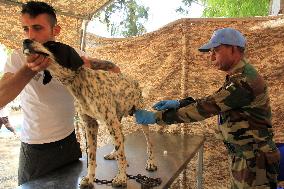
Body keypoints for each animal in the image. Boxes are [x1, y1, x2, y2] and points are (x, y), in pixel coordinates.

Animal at [22, 39, 158, 188]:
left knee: (149, 143)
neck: (79, 84)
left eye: (52, 45)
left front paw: (122, 178)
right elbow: (92, 156)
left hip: (137, 119)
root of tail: (133, 80)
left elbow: (121, 155)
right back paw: (113, 154)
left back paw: (150, 162)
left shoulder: (109, 123)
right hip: (116, 121)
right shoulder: (90, 125)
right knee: (121, 140)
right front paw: (89, 178)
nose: (26, 41)